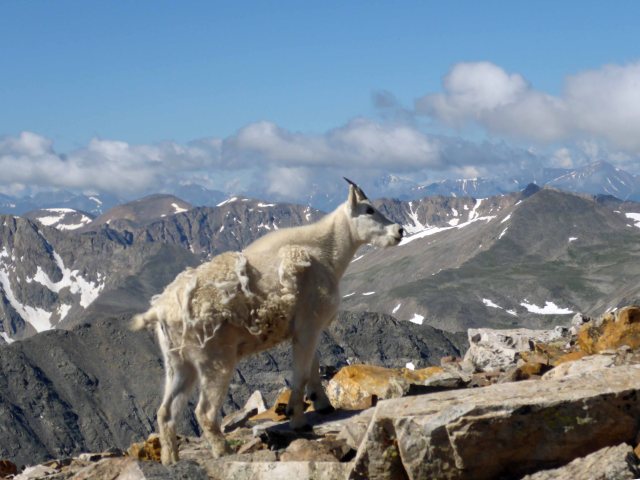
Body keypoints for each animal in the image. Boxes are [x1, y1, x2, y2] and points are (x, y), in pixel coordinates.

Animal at [131, 179, 404, 465]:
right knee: (204, 411)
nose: (399, 230)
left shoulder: (305, 330)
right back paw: (223, 450)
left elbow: (312, 365)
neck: (326, 251)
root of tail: (161, 310)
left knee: (165, 412)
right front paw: (298, 419)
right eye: (369, 210)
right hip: (215, 360)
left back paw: (170, 458)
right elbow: (300, 374)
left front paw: (323, 404)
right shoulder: (309, 325)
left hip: (178, 363)